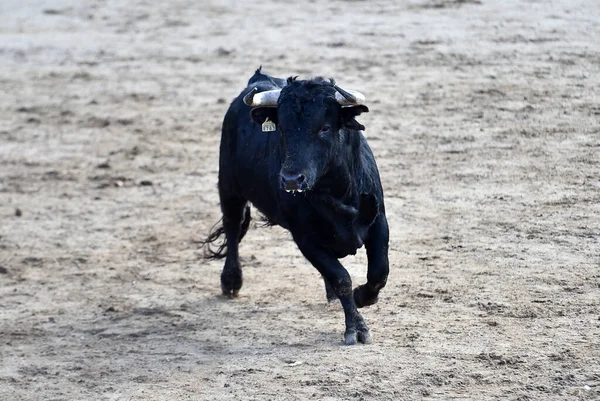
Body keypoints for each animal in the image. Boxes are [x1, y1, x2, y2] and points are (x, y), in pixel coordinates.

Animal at [202, 69, 390, 344]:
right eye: (282, 129)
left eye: (325, 128)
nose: (291, 179)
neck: (338, 192)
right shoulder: (305, 238)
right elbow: (341, 277)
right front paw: (356, 328)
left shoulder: (379, 221)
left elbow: (378, 272)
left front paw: (362, 297)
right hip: (229, 187)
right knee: (233, 226)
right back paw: (231, 281)